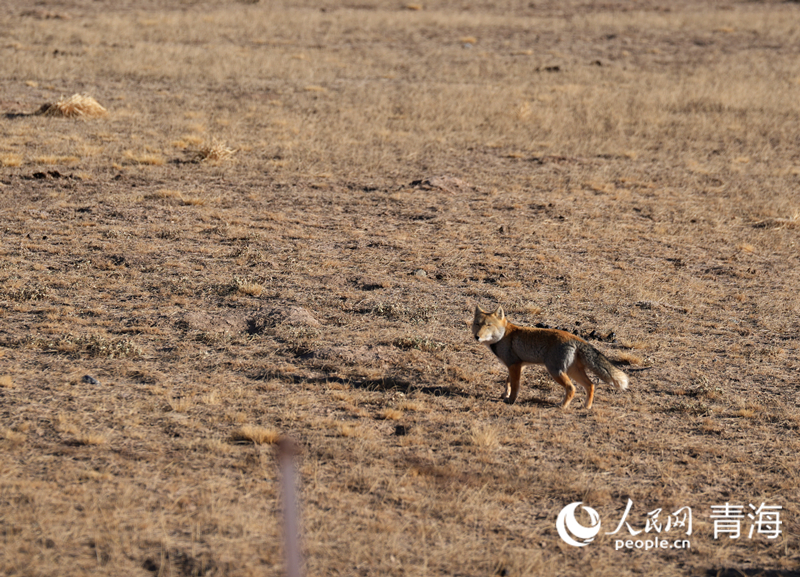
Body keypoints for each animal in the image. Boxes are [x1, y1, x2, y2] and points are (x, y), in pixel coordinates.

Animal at [472, 304, 628, 408]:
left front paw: (511, 400)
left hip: (555, 371)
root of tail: (575, 338)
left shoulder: (514, 365)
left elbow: (515, 385)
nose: (476, 337)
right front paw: (505, 395)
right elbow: (508, 382)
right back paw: (586, 407)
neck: (503, 335)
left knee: (572, 388)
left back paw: (563, 406)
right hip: (572, 371)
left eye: (488, 325)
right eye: (477, 324)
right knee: (590, 385)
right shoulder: (518, 366)